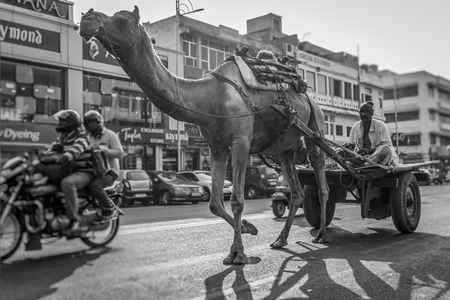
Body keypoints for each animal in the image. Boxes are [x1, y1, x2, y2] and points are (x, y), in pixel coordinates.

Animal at [78, 6, 330, 264]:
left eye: (121, 20)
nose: (86, 19)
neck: (211, 97)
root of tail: (306, 94)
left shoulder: (240, 142)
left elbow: (237, 200)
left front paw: (239, 252)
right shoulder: (216, 147)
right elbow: (215, 204)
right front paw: (248, 229)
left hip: (315, 124)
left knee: (321, 176)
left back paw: (321, 234)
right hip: (283, 149)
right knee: (296, 191)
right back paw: (281, 239)